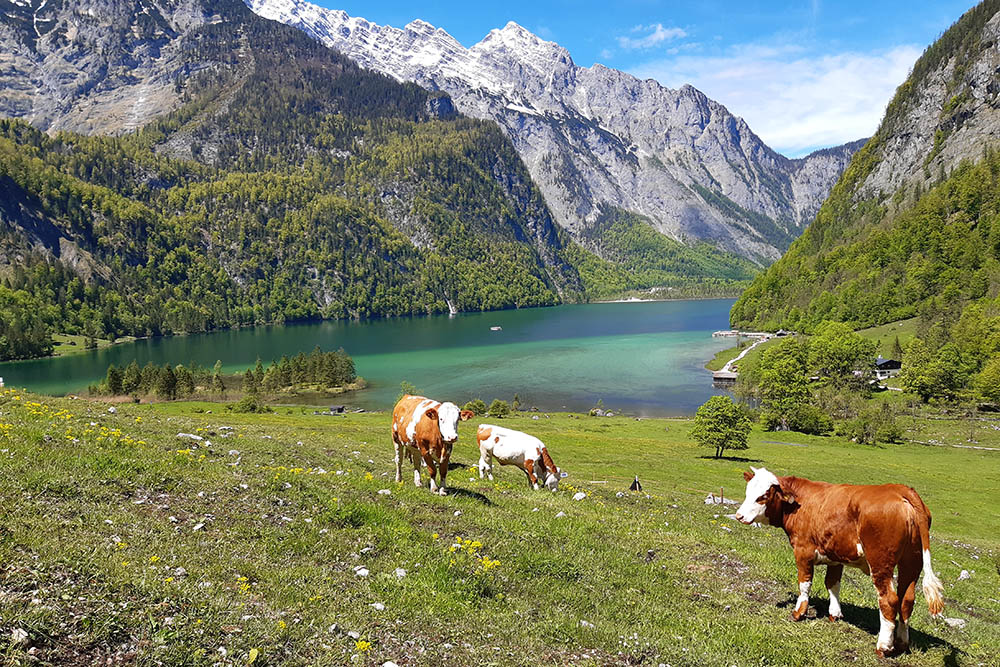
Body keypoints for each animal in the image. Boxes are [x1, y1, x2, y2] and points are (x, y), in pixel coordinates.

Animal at [736, 468, 944, 660]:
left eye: (763, 496)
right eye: (747, 491)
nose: (739, 516)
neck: (799, 502)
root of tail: (900, 489)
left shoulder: (803, 551)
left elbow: (804, 583)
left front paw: (799, 613)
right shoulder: (835, 557)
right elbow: (832, 584)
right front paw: (835, 614)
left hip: (881, 563)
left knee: (889, 600)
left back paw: (883, 646)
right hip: (912, 562)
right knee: (907, 600)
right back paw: (901, 643)